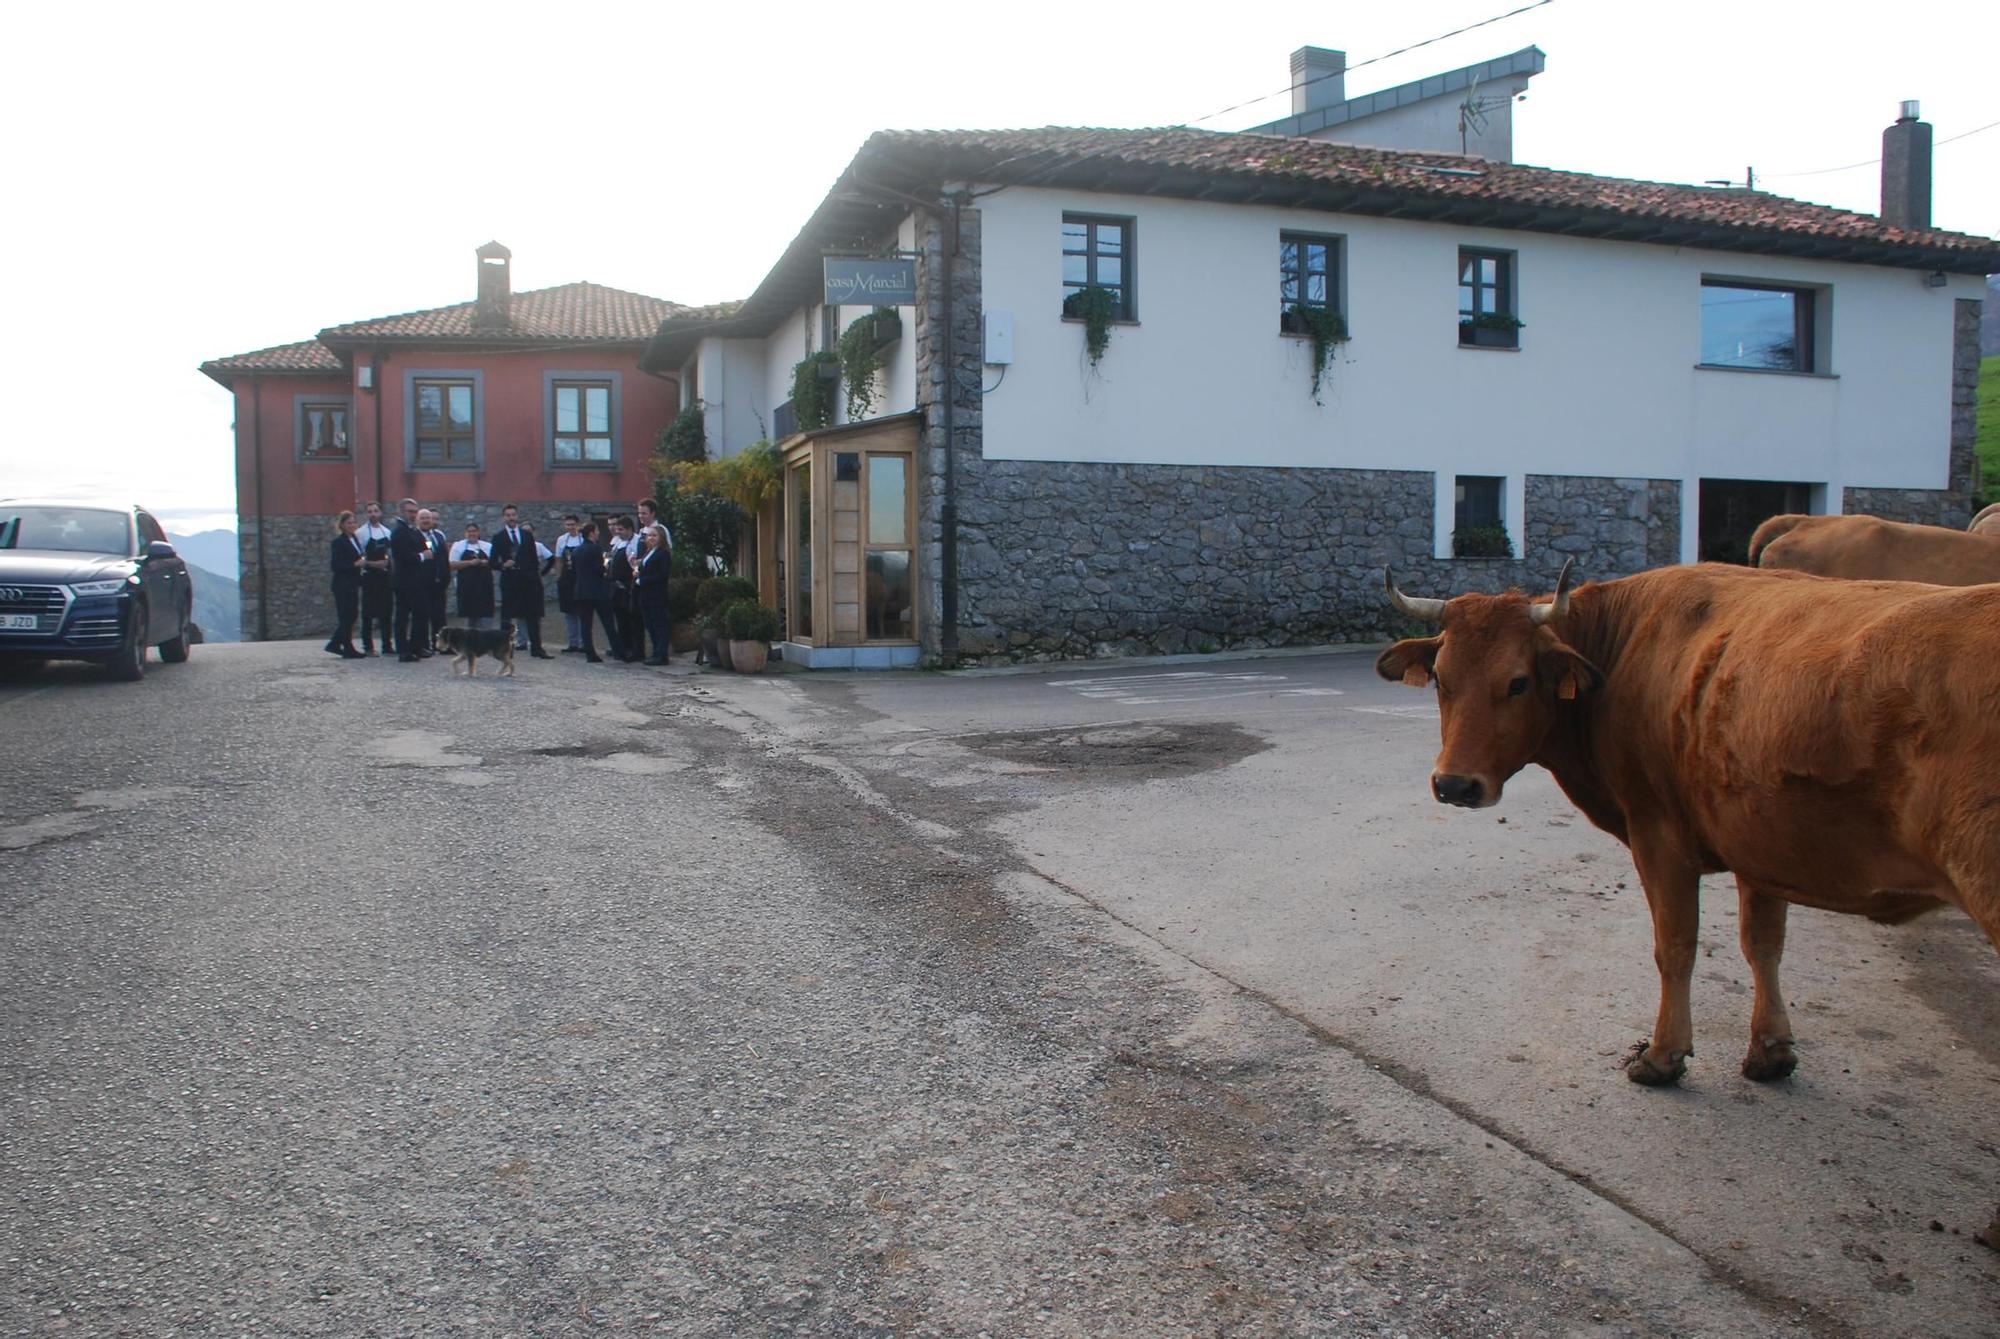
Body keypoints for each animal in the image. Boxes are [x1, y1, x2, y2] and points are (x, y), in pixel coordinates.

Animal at [1376, 559, 2000, 1095]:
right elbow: (1763, 944)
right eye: (1441, 679)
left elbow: (1674, 946)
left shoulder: (1658, 834)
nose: (1454, 785)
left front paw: (1662, 1056)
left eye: (1519, 682)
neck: (1625, 645)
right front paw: (1771, 1049)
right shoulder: (1759, 839)